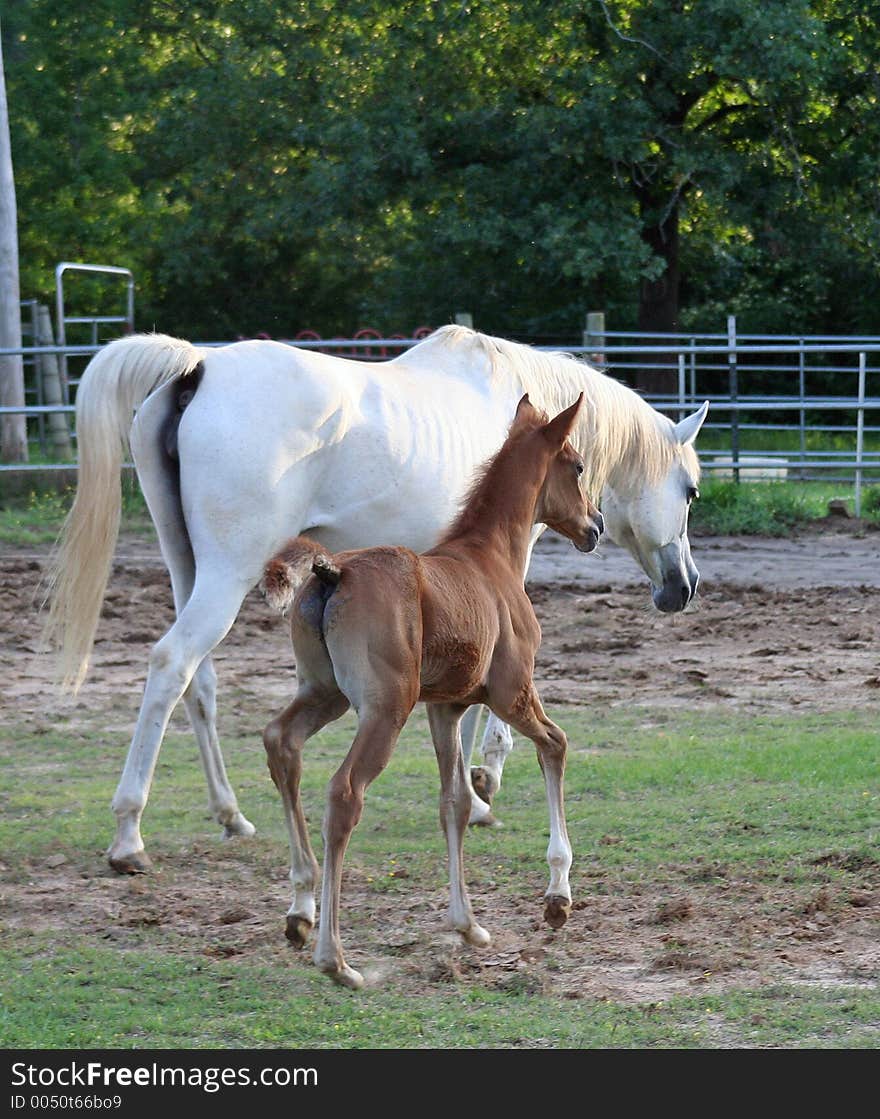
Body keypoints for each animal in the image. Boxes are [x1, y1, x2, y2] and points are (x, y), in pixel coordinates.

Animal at [42, 326, 707, 872]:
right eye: (691, 490)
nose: (684, 587)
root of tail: (196, 368)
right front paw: (482, 786)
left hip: (190, 572)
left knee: (197, 682)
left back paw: (231, 815)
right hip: (226, 576)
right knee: (171, 664)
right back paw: (129, 834)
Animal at [257, 396, 595, 989]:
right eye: (576, 466)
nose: (594, 526)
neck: (491, 558)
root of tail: (333, 570)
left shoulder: (446, 708)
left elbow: (455, 802)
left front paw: (468, 926)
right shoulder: (510, 693)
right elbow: (555, 745)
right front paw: (557, 897)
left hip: (325, 693)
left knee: (281, 743)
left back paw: (301, 909)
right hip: (384, 709)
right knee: (344, 793)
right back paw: (336, 959)